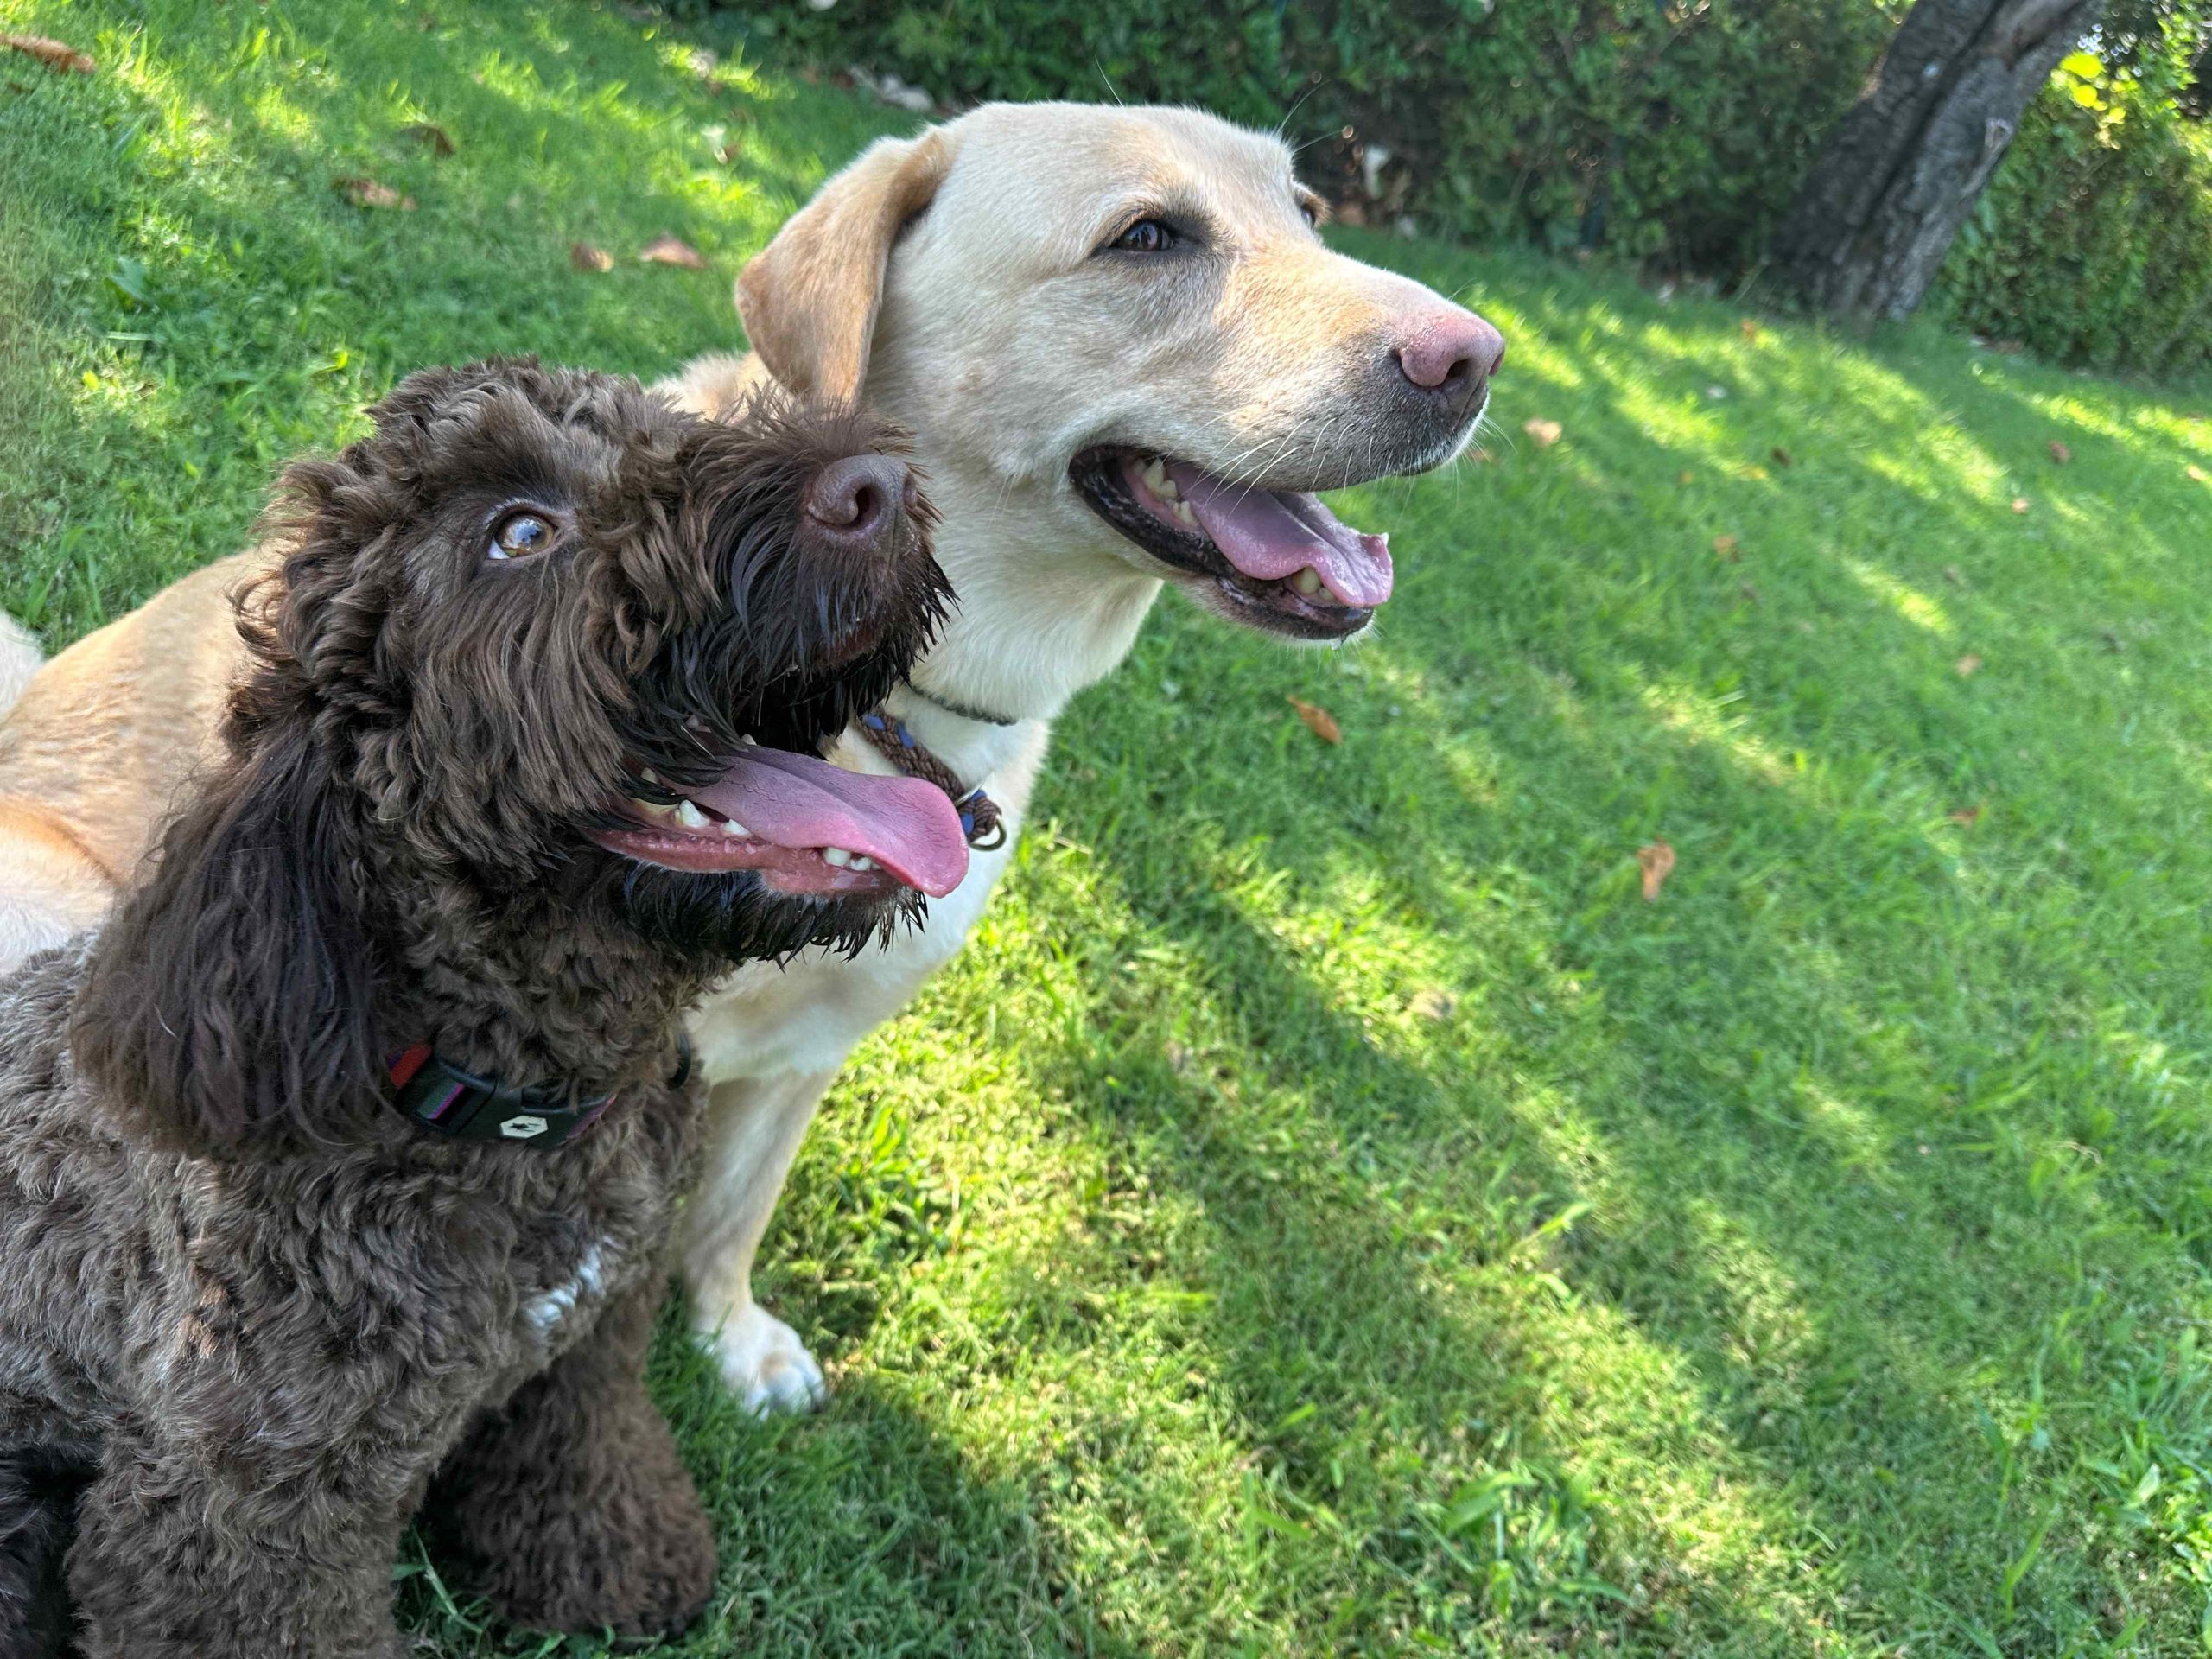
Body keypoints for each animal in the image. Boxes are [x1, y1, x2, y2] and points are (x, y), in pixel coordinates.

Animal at [0, 358, 977, 1654]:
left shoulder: (588, 1346)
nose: (876, 483)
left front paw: (619, 1569)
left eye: (665, 426)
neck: (515, 1118)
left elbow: (582, 1460)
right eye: (520, 534)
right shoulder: (233, 1513)